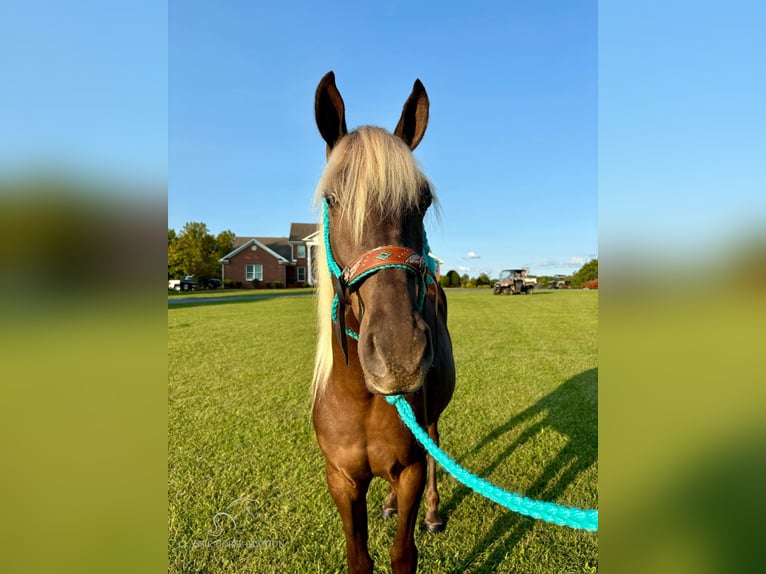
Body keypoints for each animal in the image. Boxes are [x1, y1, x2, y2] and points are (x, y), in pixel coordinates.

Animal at [312, 73, 456, 574]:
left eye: (423, 200)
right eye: (333, 198)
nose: (398, 356)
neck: (362, 399)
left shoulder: (409, 468)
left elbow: (402, 556)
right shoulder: (341, 480)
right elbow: (360, 558)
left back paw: (433, 513)